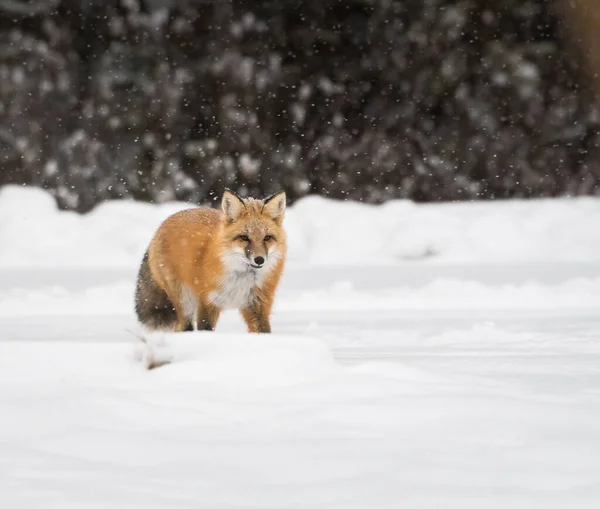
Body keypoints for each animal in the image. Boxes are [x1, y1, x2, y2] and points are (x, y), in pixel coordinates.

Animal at [136, 189, 286, 332]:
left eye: (267, 238)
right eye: (244, 237)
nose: (259, 260)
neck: (240, 280)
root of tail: (161, 226)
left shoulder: (257, 306)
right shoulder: (208, 302)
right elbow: (205, 329)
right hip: (185, 302)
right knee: (183, 326)